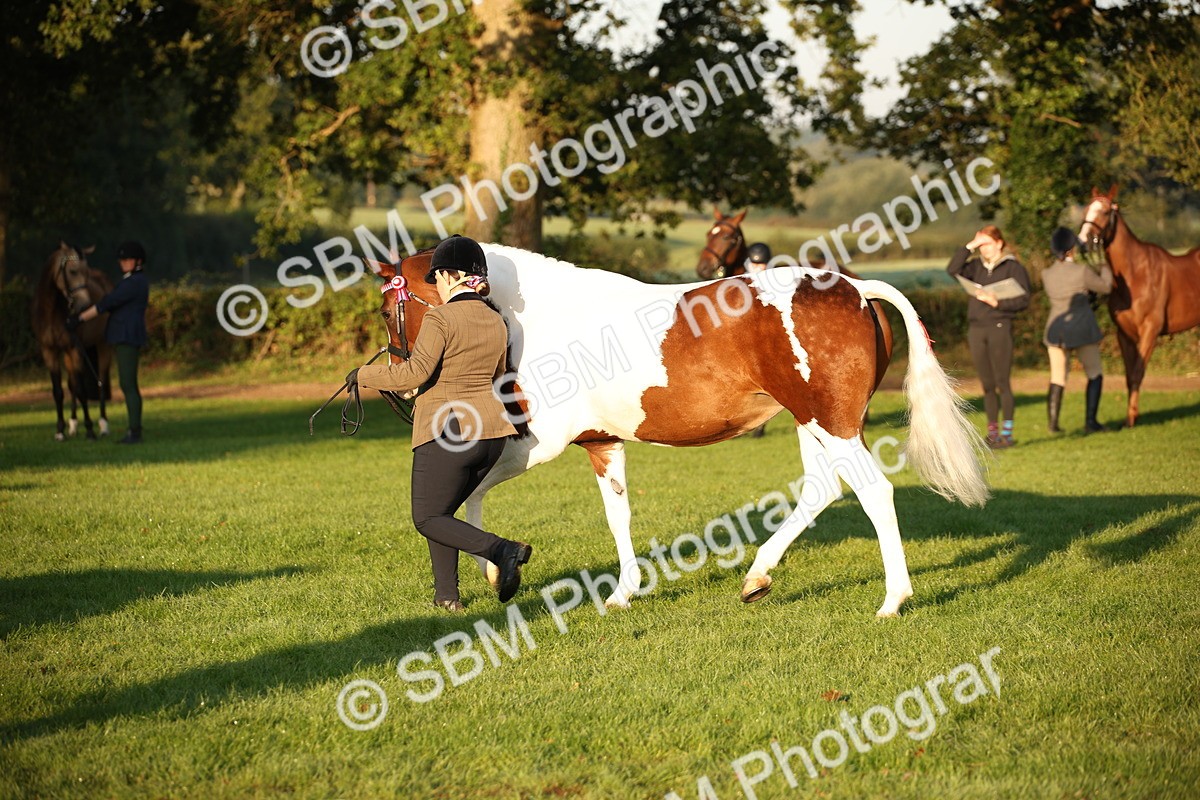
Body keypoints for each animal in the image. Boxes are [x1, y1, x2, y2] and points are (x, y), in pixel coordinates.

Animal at [30, 242, 113, 441]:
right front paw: (60, 430)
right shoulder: (50, 351)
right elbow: (59, 391)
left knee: (100, 382)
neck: (51, 312)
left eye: (87, 272)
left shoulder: (75, 348)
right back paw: (73, 424)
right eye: (73, 271)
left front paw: (90, 429)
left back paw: (103, 425)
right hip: (68, 354)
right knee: (72, 384)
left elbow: (82, 390)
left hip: (102, 345)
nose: (86, 306)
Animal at [367, 245, 988, 618]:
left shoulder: (539, 441)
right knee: (822, 490)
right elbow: (618, 514)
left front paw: (497, 570)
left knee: (873, 492)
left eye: (386, 311)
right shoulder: (601, 442)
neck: (542, 319)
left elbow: (466, 496)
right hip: (813, 424)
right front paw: (622, 593)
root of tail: (856, 289)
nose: (402, 388)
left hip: (830, 424)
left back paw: (892, 600)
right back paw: (756, 578)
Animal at [1078, 187, 1200, 427]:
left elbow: (1137, 373)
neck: (1136, 273)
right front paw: (1130, 418)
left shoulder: (1150, 331)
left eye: (1105, 212)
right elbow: (1128, 376)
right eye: (1087, 209)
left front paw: (1131, 418)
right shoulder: (1124, 335)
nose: (1083, 241)